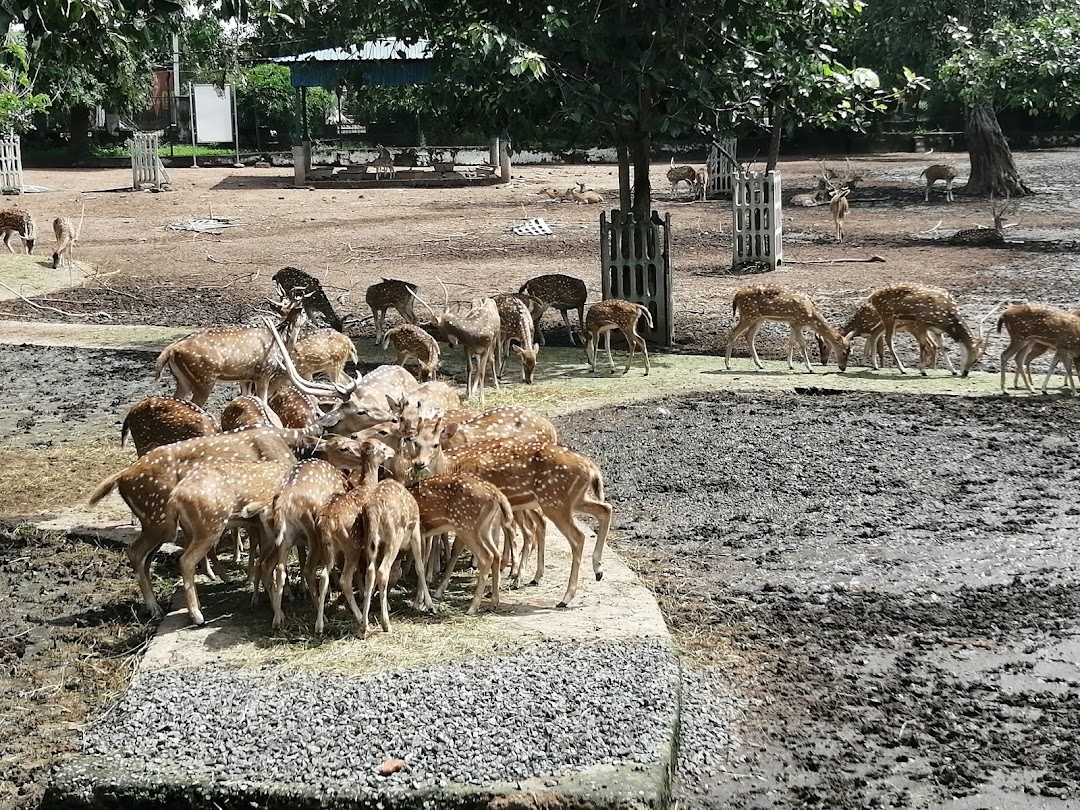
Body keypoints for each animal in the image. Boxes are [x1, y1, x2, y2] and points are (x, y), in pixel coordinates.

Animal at [867, 284, 1000, 377]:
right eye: (976, 358)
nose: (966, 372)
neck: (947, 318)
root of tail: (872, 297)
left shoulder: (937, 330)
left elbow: (943, 347)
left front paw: (953, 370)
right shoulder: (921, 321)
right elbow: (922, 344)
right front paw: (923, 370)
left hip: (888, 319)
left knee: (875, 332)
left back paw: (875, 366)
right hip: (888, 316)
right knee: (888, 339)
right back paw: (902, 369)